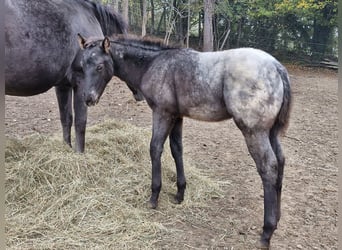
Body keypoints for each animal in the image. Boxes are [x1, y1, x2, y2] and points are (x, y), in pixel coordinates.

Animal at [4, 0, 140, 152]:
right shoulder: (80, 84)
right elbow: (80, 122)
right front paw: (79, 153)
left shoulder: (63, 85)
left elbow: (66, 119)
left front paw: (67, 148)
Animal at [77, 34, 292, 248]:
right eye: (82, 65)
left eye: (99, 66)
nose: (88, 99)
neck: (152, 64)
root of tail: (277, 67)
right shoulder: (176, 116)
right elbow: (176, 149)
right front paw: (180, 194)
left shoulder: (162, 113)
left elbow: (155, 148)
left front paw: (154, 196)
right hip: (271, 132)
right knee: (280, 161)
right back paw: (277, 219)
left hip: (253, 131)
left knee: (268, 166)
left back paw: (267, 232)